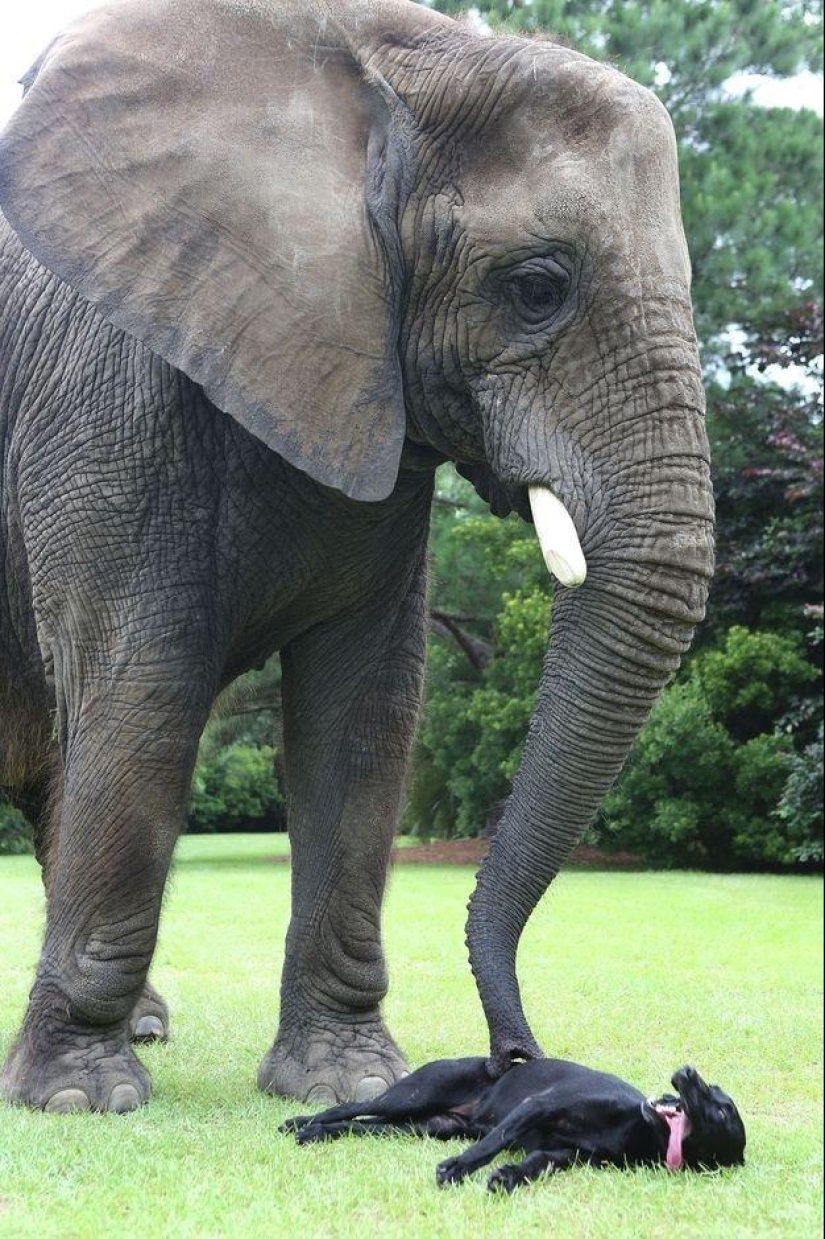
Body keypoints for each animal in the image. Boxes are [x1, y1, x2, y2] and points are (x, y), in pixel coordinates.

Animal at [0, 0, 708, 1115]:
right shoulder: (103, 397)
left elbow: (362, 713)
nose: (515, 1058)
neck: (402, 60)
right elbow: (143, 692)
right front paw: (78, 1099)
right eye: (537, 287)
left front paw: (345, 1082)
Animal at [281, 1055, 738, 1189]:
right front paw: (457, 1168)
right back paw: (301, 1122)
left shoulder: (559, 1155)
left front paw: (508, 1178)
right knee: (346, 1109)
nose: (687, 1070)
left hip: (419, 1126)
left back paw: (317, 1133)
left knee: (357, 1124)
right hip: (407, 1098)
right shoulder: (538, 1105)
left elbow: (532, 1165)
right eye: (713, 1090)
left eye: (722, 1110)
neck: (636, 1127)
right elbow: (493, 1143)